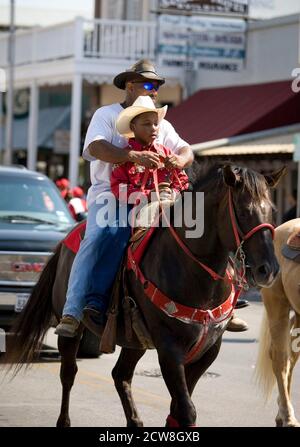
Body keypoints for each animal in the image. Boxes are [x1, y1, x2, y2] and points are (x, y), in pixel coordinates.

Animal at [6, 164, 284, 428]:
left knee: (120, 375)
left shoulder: (209, 349)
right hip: (71, 330)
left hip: (135, 339)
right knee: (68, 372)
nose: (269, 269)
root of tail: (66, 240)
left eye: (272, 210)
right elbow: (187, 410)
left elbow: (178, 410)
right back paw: (64, 419)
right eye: (243, 211)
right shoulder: (169, 350)